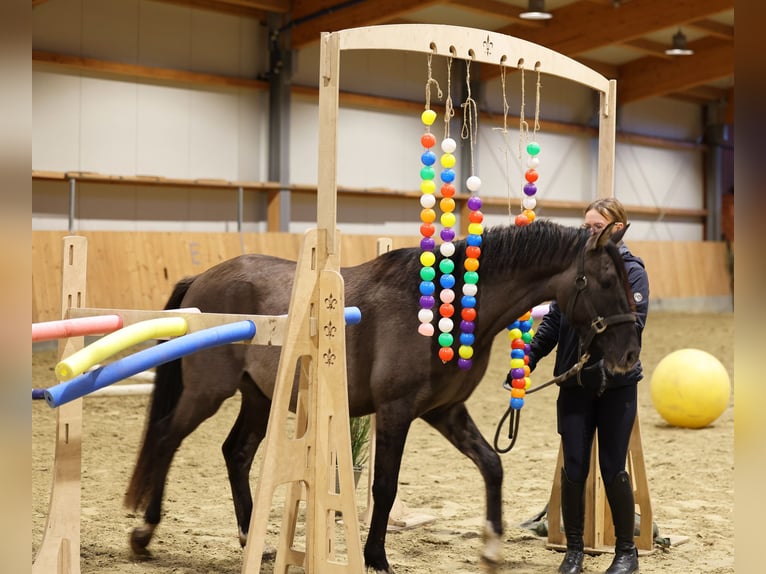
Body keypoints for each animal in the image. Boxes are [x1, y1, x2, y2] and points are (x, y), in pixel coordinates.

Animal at [124, 219, 640, 573]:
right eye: (607, 282)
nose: (629, 355)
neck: (444, 309)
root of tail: (201, 278)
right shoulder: (397, 412)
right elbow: (385, 487)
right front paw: (375, 557)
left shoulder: (445, 412)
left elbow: (492, 465)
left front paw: (492, 547)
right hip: (209, 391)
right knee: (168, 438)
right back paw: (144, 534)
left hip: (258, 397)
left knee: (236, 453)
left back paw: (253, 539)